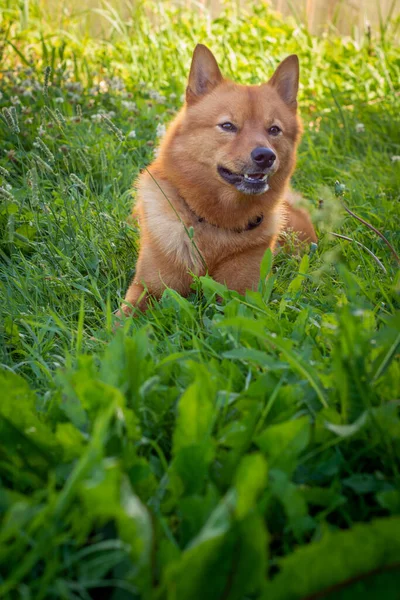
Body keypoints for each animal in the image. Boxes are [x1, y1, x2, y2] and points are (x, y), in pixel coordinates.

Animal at [119, 43, 316, 314]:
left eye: (274, 130)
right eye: (228, 126)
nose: (265, 156)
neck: (217, 224)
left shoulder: (245, 296)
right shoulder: (146, 287)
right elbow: (122, 318)